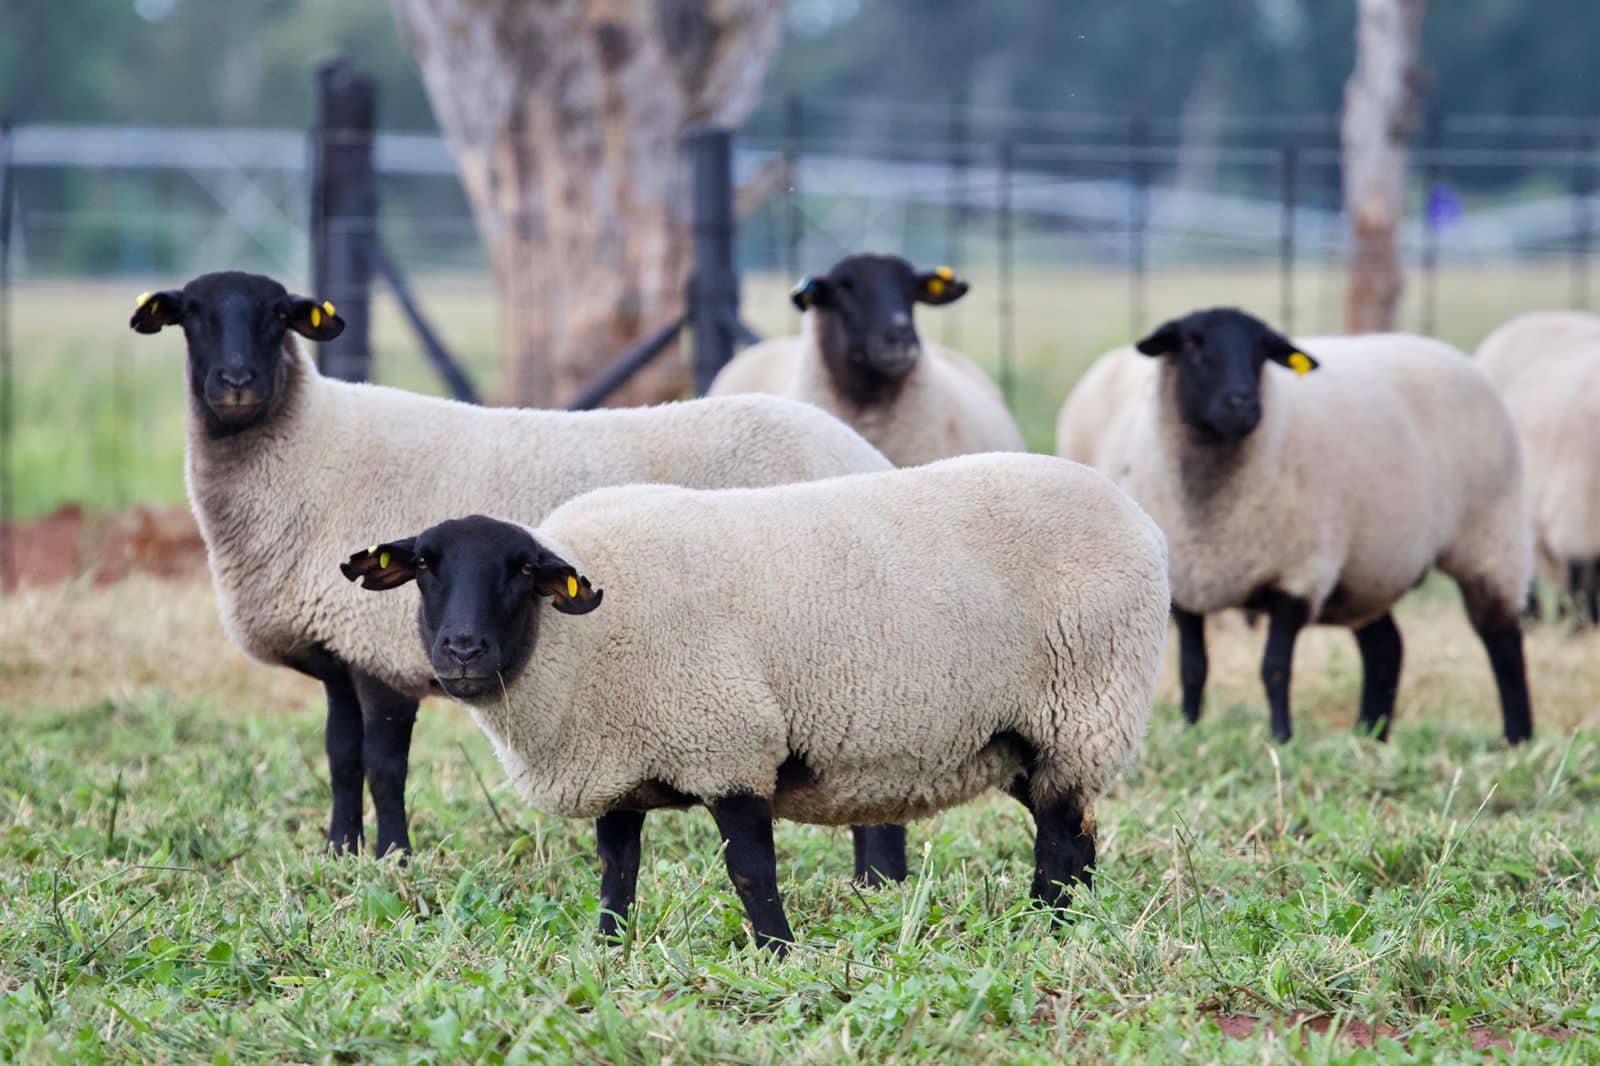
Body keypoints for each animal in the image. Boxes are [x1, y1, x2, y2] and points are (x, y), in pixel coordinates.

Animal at [128, 270, 896, 864]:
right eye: (191, 316)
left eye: (278, 315)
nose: (236, 383)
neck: (308, 446)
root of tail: (861, 450)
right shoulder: (339, 648)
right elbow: (341, 759)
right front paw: (339, 855)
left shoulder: (381, 651)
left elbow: (384, 765)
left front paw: (393, 859)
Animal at [340, 452, 1170, 952]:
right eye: (424, 567)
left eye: (520, 571)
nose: (462, 651)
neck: (577, 646)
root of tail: (1142, 520)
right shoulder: (621, 765)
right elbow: (617, 868)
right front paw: (608, 947)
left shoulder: (730, 744)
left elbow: (750, 871)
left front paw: (778, 952)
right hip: (1023, 739)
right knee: (1079, 835)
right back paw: (1063, 926)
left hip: (1082, 711)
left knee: (1061, 840)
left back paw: (1047, 929)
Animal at [1060, 307, 1534, 745]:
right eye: (1192, 343)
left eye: (1263, 350)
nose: (1243, 404)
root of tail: (1447, 351)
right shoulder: (1188, 583)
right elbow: (1193, 669)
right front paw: (1190, 730)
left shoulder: (1297, 576)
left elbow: (1274, 667)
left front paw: (1280, 738)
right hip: (1368, 568)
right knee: (1386, 649)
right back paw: (1369, 736)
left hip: (1490, 536)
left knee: (1502, 640)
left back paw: (1518, 737)